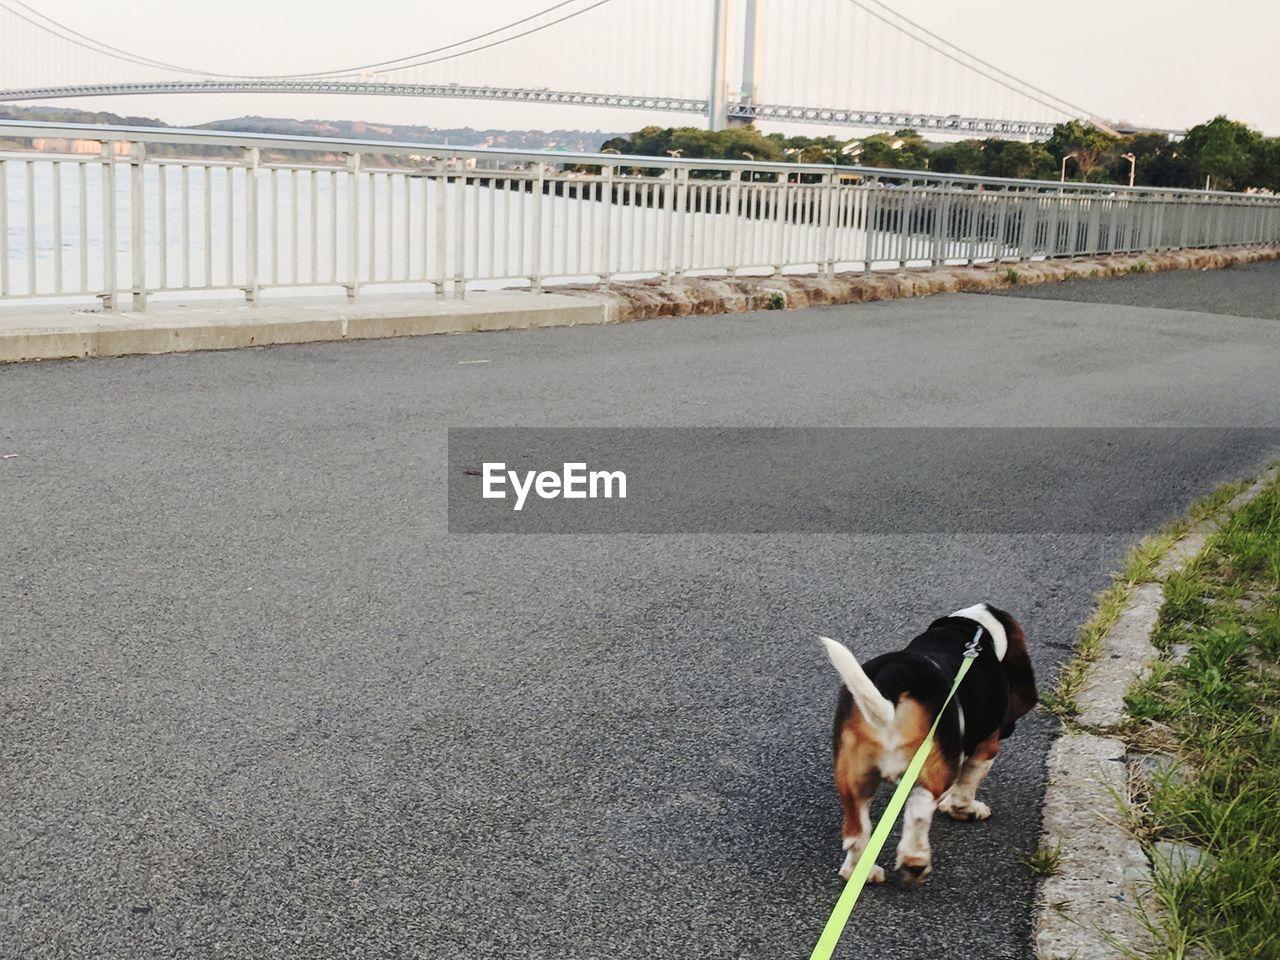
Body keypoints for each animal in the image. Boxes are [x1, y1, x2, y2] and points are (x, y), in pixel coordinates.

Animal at [819, 609, 1039, 885]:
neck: (973, 629)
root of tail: (896, 676)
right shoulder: (985, 749)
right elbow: (966, 786)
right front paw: (964, 810)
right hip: (930, 770)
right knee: (919, 812)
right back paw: (915, 862)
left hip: (852, 777)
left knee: (856, 832)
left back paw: (863, 872)